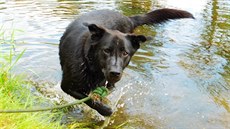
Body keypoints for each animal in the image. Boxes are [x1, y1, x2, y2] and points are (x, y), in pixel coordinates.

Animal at [58, 8, 193, 116]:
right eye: (106, 50)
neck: (89, 63)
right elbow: (89, 100)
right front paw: (106, 110)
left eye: (125, 53)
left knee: (110, 86)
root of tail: (128, 18)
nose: (115, 73)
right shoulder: (66, 86)